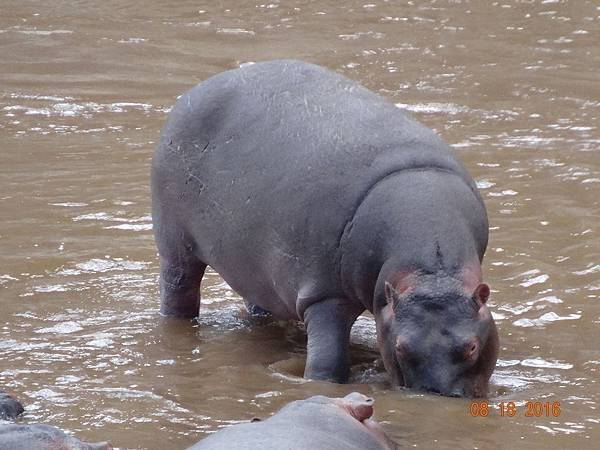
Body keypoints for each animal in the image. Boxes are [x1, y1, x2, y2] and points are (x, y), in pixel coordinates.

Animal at [152, 59, 500, 398]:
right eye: (401, 348)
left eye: (471, 347)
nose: (438, 395)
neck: (431, 274)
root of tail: (198, 89)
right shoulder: (324, 293)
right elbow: (328, 362)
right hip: (175, 245)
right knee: (179, 290)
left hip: (255, 268)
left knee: (257, 303)